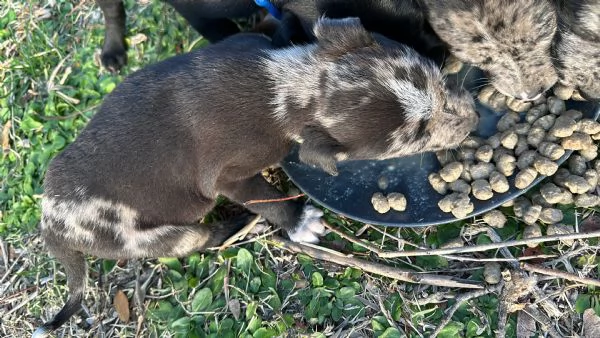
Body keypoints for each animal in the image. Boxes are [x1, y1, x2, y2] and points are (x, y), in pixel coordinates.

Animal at [35, 17, 480, 336]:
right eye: (416, 135)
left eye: (436, 81)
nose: (474, 117)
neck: (293, 90)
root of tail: (51, 225)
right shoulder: (229, 176)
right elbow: (266, 197)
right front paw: (301, 223)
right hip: (151, 235)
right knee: (198, 238)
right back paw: (235, 224)